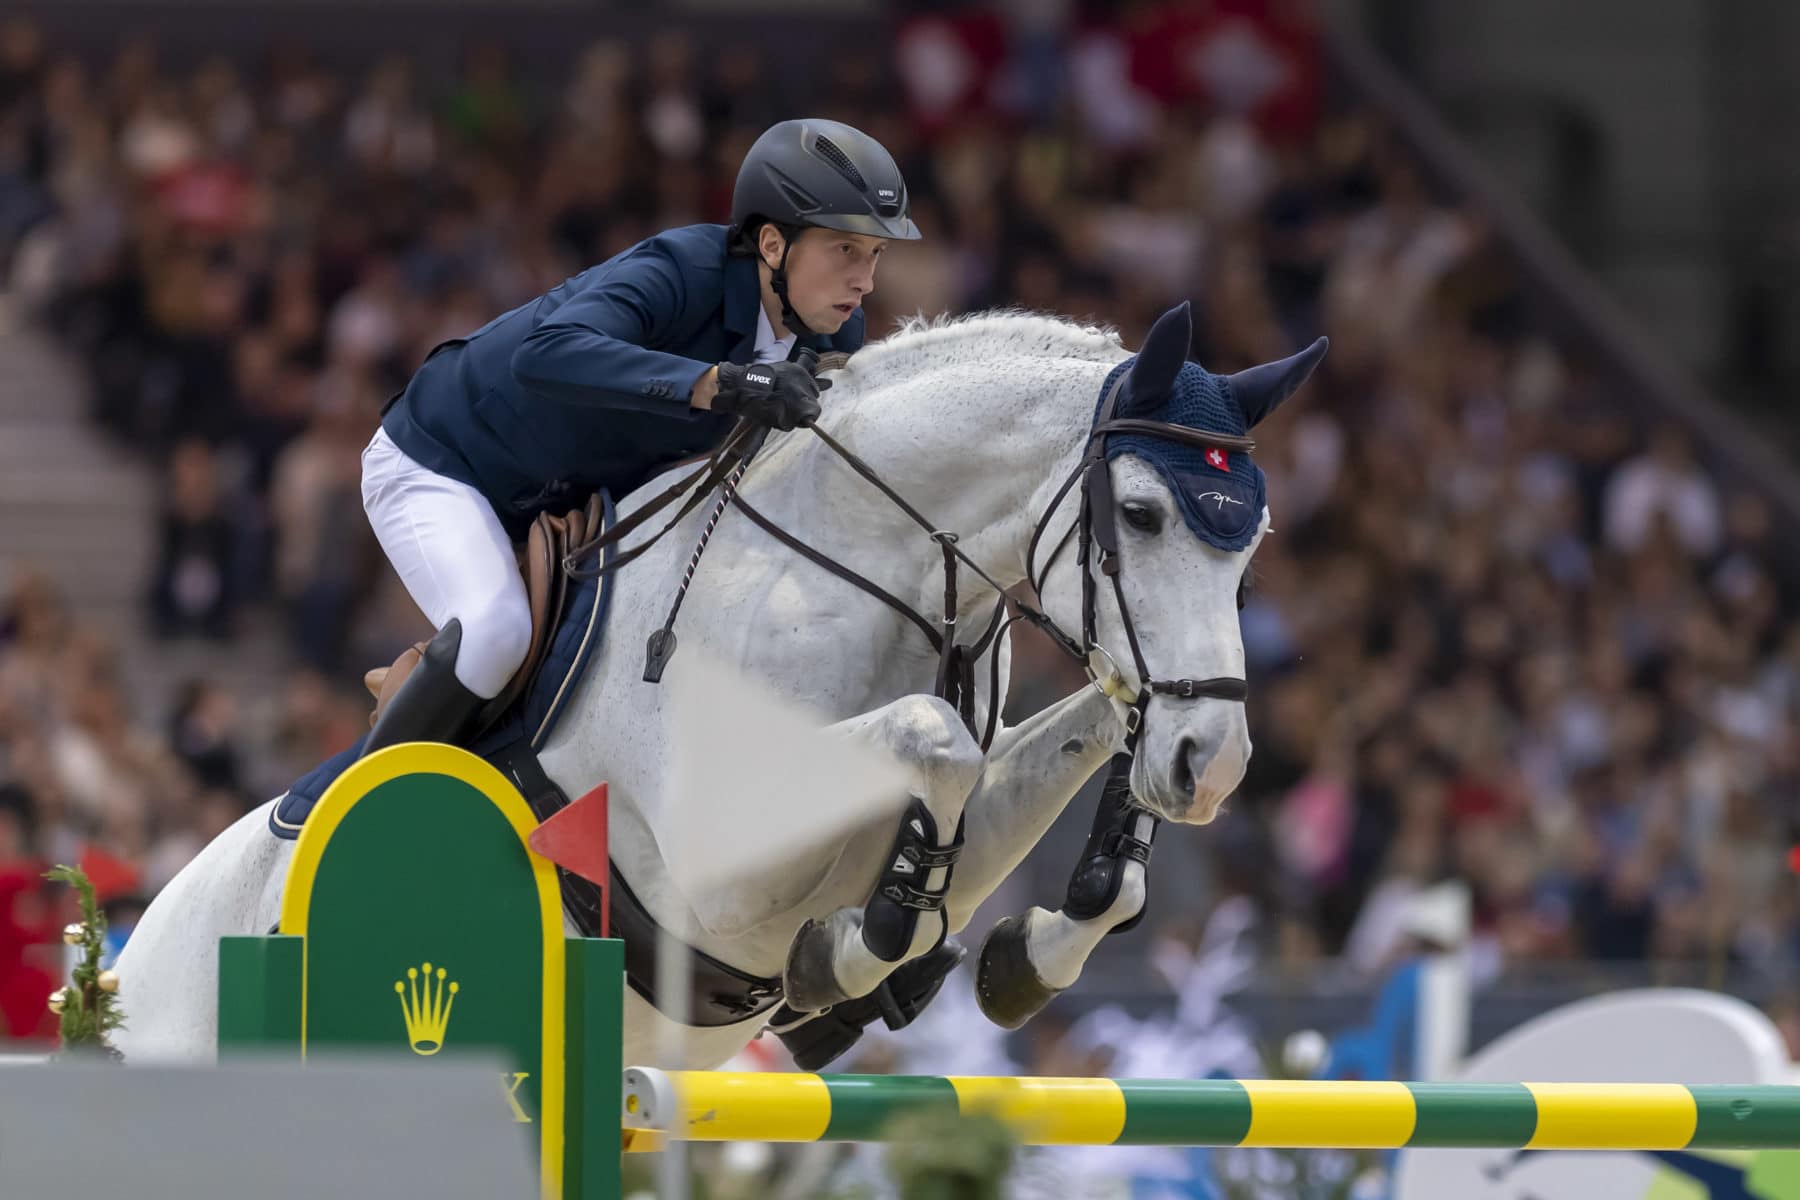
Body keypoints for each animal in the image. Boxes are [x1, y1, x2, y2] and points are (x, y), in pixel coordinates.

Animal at [111, 300, 1323, 1070]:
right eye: (1144, 516)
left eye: (1252, 545)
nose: (1212, 768)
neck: (851, 569)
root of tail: (120, 968)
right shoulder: (715, 865)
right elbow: (932, 738)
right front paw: (855, 950)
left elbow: (1048, 799)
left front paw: (1025, 951)